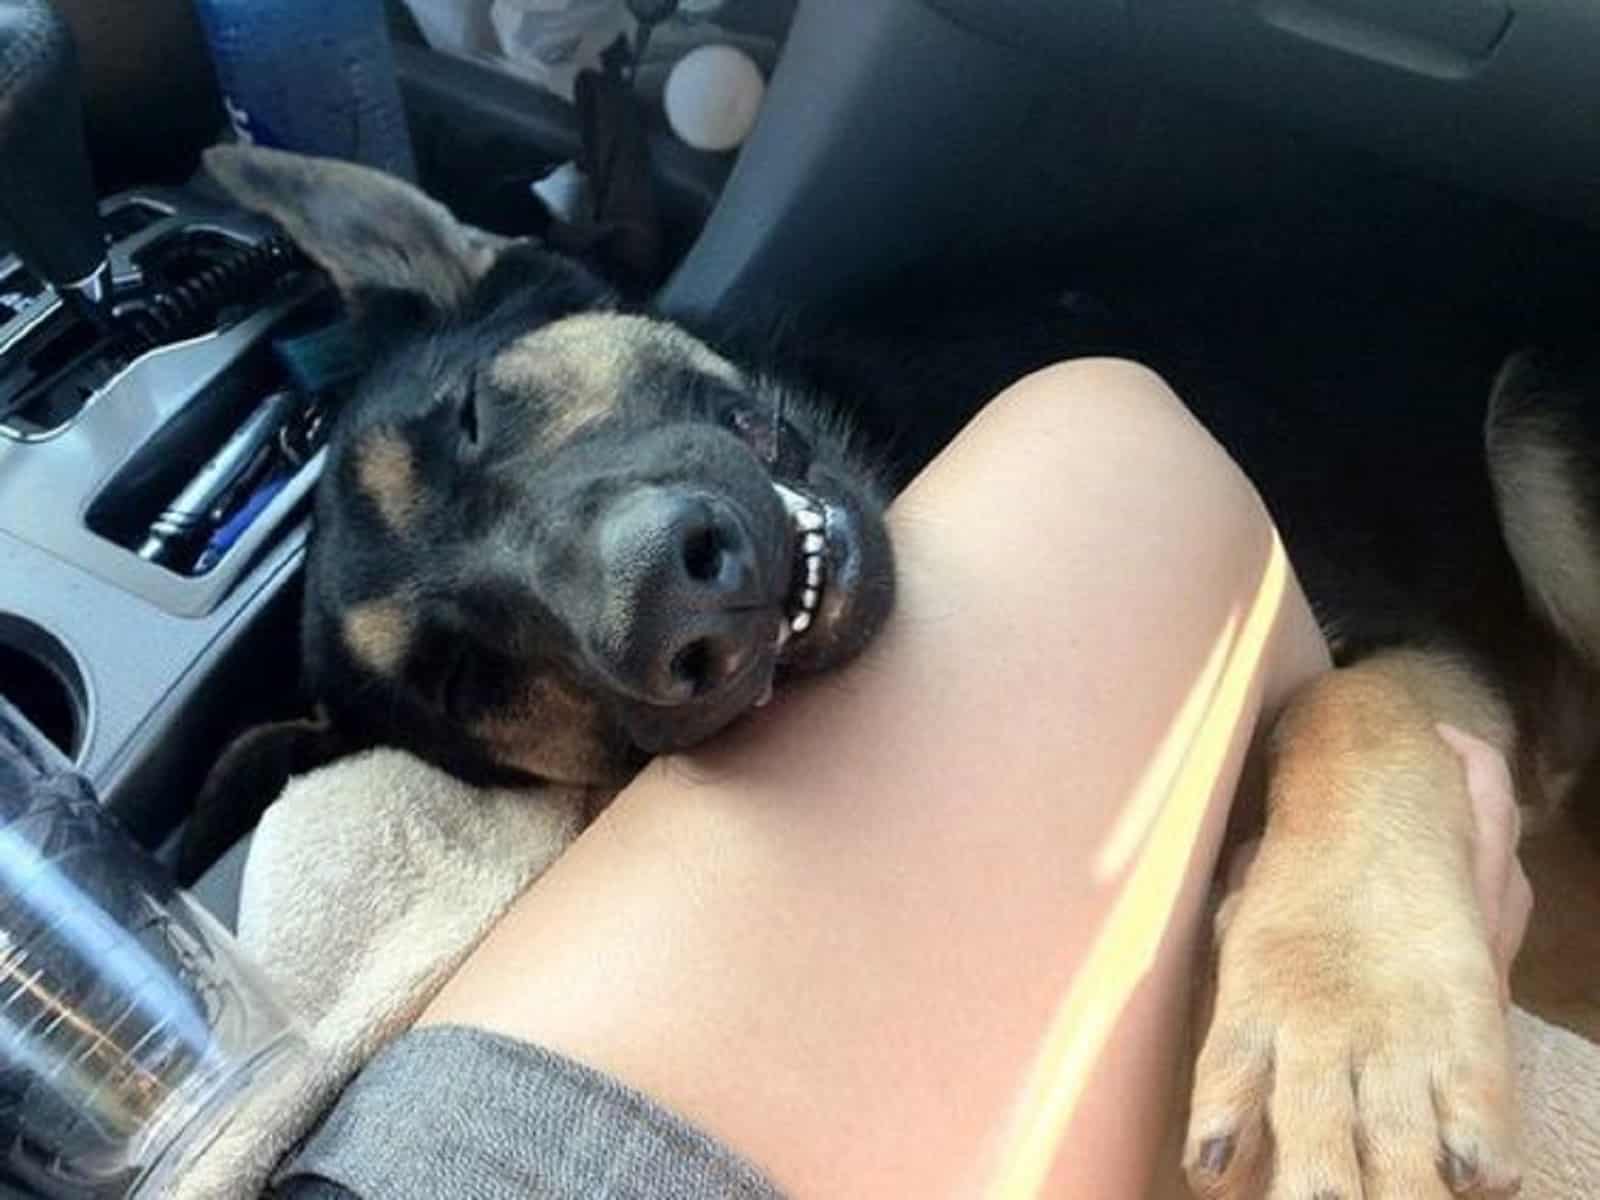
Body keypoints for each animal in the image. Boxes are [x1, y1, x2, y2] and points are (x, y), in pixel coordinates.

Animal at [190, 145, 1600, 1196]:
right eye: (459, 678)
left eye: (476, 416)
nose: (669, 603)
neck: (897, 460)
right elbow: (1347, 702)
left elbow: (1343, 706)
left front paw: (1347, 1021)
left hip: (1534, 420)